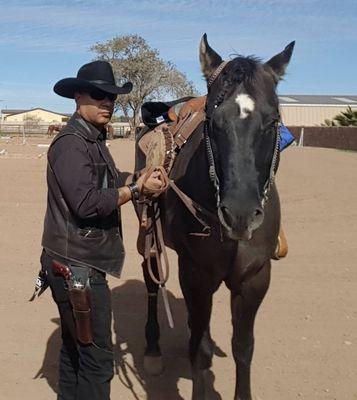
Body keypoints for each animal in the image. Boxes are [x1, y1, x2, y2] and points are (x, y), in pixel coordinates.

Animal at [135, 35, 294, 400]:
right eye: (213, 121)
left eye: (273, 121)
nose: (240, 213)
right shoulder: (195, 274)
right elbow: (201, 350)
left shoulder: (254, 280)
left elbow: (243, 347)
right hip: (149, 237)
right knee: (151, 283)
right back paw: (153, 349)